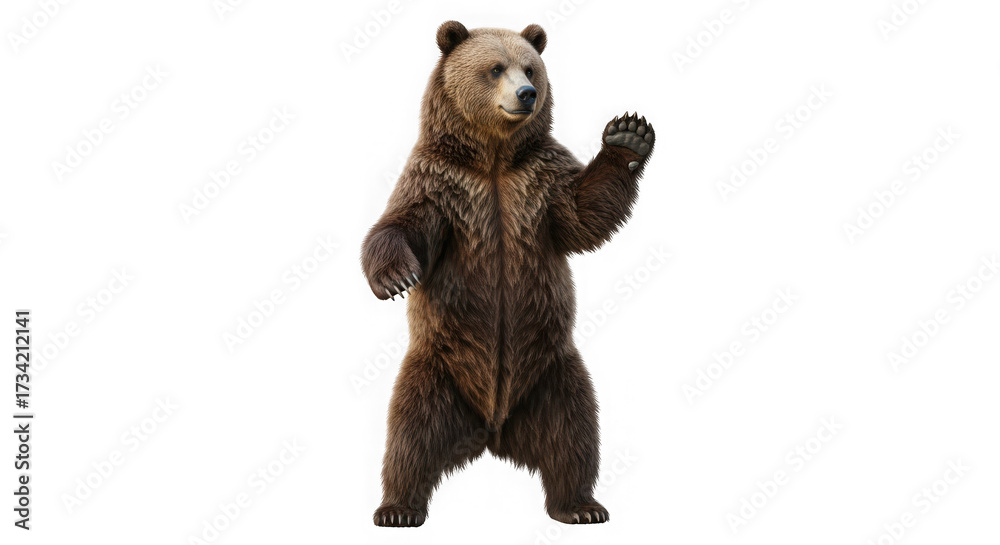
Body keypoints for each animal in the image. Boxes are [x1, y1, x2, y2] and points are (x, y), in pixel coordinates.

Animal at [361, 20, 654, 527]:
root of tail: (492, 430)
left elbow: (584, 214)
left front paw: (628, 135)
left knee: (573, 431)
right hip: (436, 369)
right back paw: (398, 508)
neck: (493, 159)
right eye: (495, 67)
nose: (527, 94)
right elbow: (402, 223)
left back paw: (580, 505)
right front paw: (395, 278)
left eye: (530, 67)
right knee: (409, 434)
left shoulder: (540, 182)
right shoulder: (442, 182)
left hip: (553, 371)